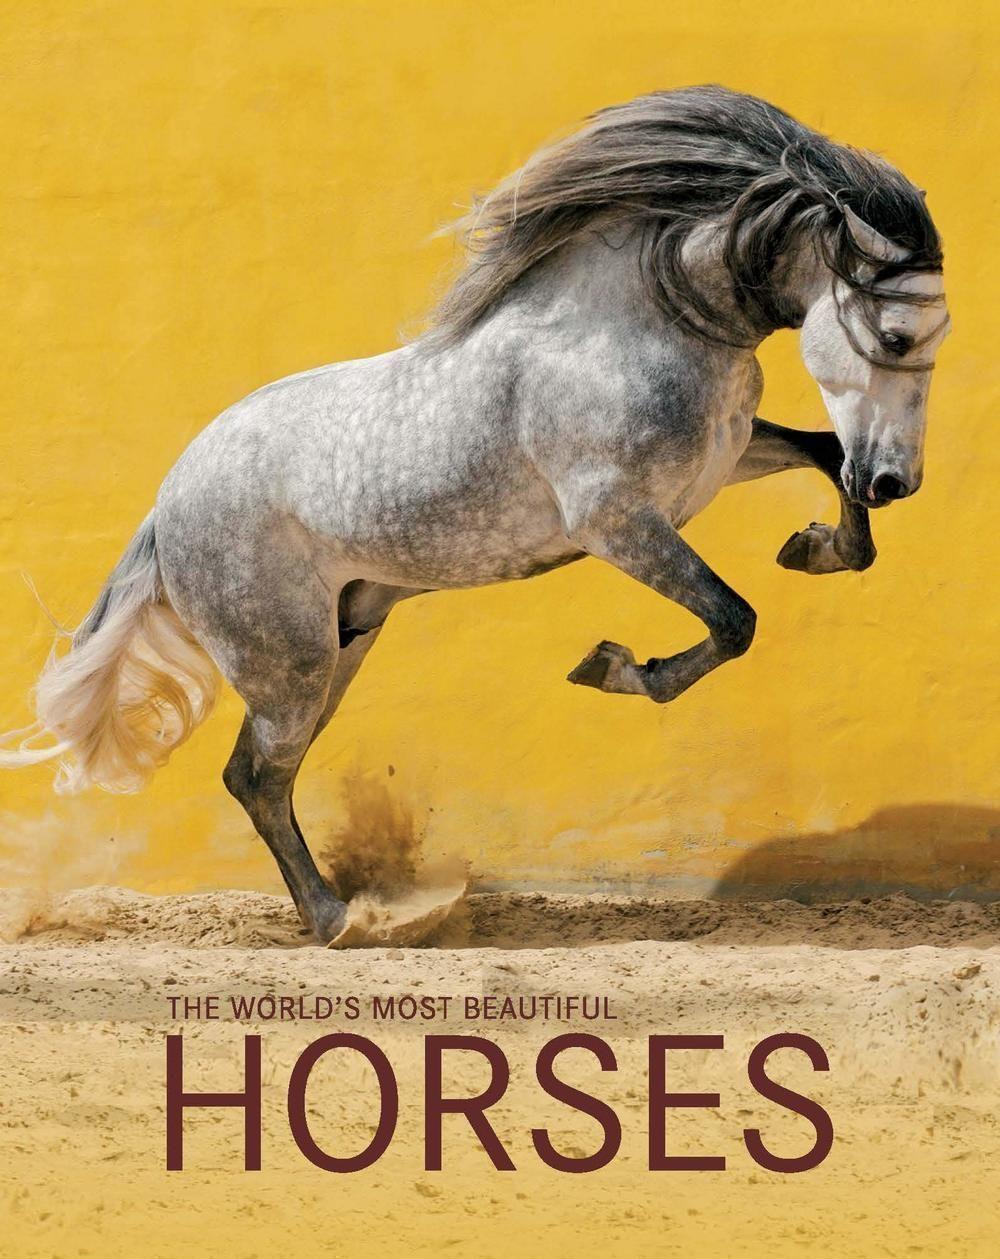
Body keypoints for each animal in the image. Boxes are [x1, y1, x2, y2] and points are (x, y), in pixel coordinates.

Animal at [0, 86, 950, 942]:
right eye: (896, 339)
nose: (898, 481)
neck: (641, 319)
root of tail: (168, 507)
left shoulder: (720, 464)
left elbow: (824, 461)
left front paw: (817, 547)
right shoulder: (616, 520)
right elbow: (733, 618)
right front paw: (612, 666)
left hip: (344, 640)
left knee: (257, 777)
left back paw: (336, 915)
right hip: (290, 664)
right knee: (257, 778)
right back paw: (343, 921)